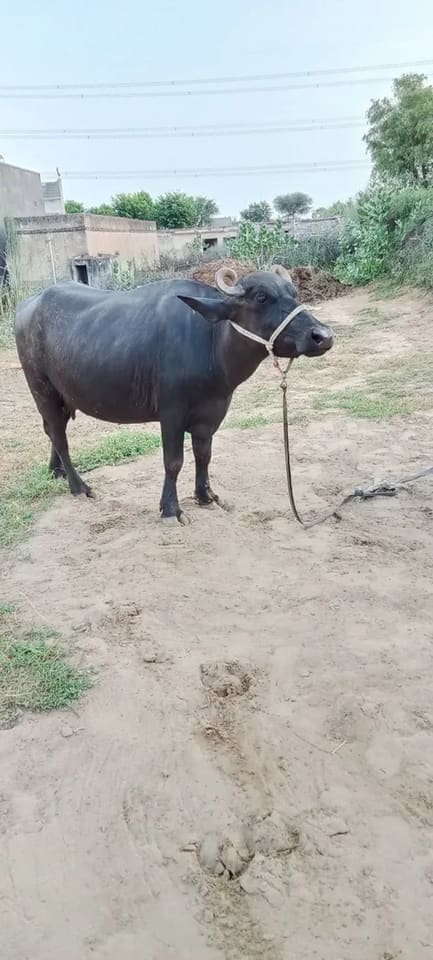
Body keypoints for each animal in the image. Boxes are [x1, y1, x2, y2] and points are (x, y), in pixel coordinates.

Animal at [15, 265, 333, 522]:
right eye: (261, 297)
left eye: (293, 292)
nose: (323, 336)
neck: (210, 343)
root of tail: (27, 306)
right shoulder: (171, 413)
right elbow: (173, 462)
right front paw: (170, 509)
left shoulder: (211, 413)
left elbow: (204, 455)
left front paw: (206, 496)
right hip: (41, 389)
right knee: (59, 434)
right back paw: (79, 486)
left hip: (65, 396)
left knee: (52, 430)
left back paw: (56, 471)